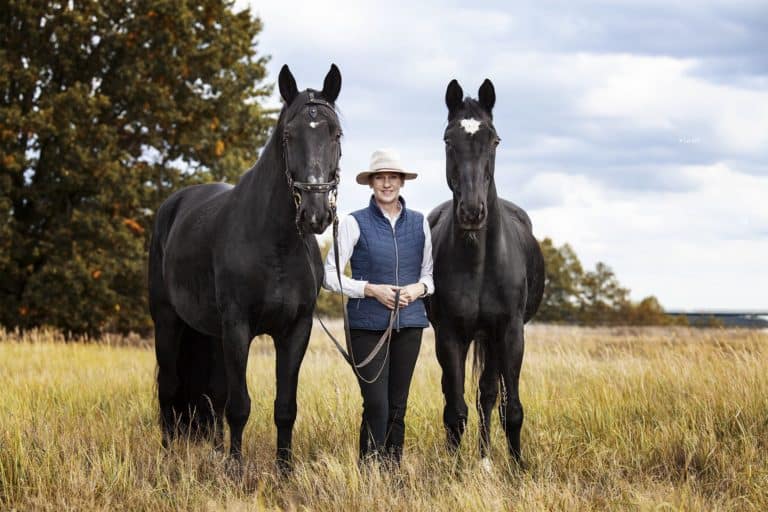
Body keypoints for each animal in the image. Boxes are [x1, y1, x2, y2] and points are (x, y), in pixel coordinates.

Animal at [146, 64, 342, 472]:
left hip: (211, 333)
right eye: (288, 135)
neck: (276, 242)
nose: (315, 214)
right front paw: (235, 469)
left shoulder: (295, 331)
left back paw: (215, 449)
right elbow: (239, 406)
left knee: (213, 394)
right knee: (170, 390)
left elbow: (284, 407)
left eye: (335, 134)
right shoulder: (237, 327)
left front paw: (284, 470)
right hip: (168, 321)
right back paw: (169, 455)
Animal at [426, 78, 544, 466]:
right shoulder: (449, 335)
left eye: (494, 140)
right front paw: (452, 469)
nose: (472, 211)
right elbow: (454, 411)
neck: (479, 263)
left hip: (491, 339)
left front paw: (518, 468)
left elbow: (510, 408)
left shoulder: (509, 333)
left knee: (488, 395)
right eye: (448, 140)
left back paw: (486, 459)